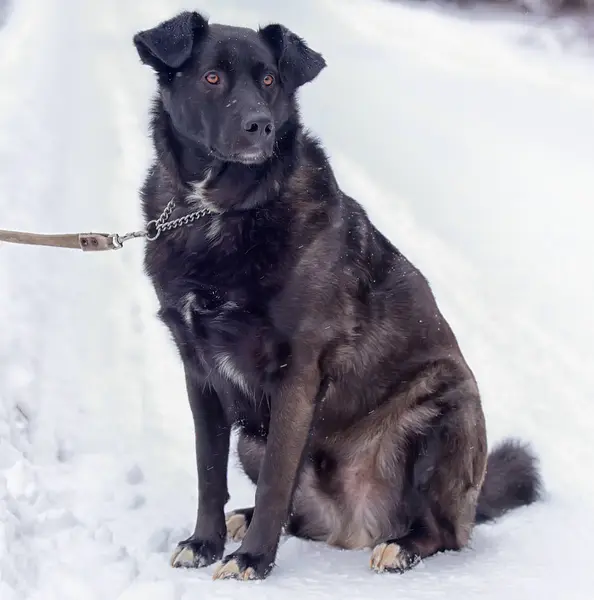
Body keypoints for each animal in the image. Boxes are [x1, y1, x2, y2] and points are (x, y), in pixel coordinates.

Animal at [132, 10, 540, 580]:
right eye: (211, 77)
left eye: (269, 80)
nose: (260, 125)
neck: (217, 212)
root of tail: (353, 525)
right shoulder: (201, 375)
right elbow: (209, 474)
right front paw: (205, 543)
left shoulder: (297, 374)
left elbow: (278, 478)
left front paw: (251, 561)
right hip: (251, 438)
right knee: (291, 511)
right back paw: (245, 518)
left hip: (449, 410)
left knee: (443, 532)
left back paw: (400, 546)